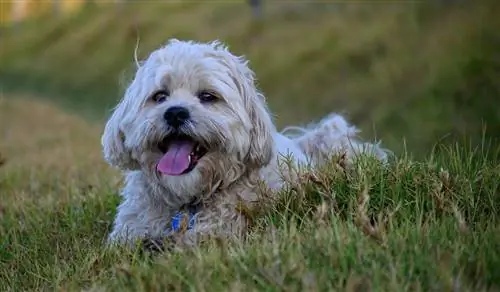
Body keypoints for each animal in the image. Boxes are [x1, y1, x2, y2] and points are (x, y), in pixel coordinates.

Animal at [101, 37, 388, 250]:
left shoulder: (222, 228)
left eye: (208, 96)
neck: (188, 202)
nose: (175, 113)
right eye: (159, 96)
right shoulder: (130, 230)